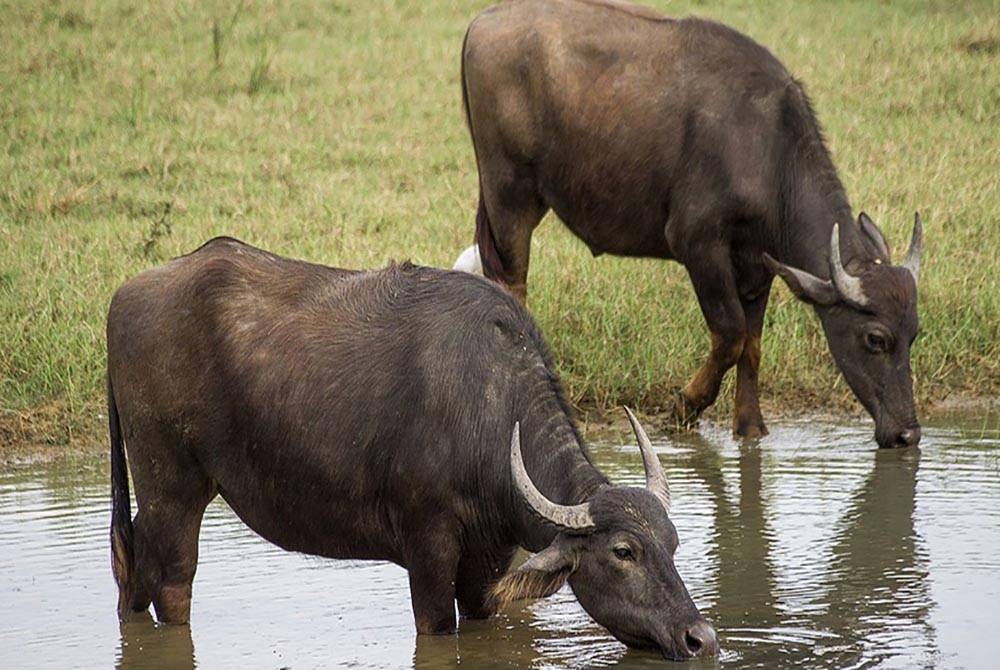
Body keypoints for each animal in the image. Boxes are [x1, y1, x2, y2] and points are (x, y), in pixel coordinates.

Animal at [107, 239, 720, 664]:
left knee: (132, 575)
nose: (702, 638)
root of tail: (126, 296)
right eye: (623, 552)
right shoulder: (428, 551)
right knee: (170, 584)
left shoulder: (486, 562)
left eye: (672, 542)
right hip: (172, 489)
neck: (488, 410)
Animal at [458, 1, 924, 452]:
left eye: (914, 334)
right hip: (509, 193)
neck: (768, 151)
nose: (908, 435)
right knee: (512, 283)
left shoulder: (758, 265)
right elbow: (731, 334)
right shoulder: (699, 244)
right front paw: (684, 407)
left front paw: (750, 427)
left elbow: (752, 346)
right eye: (875, 339)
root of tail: (484, 20)